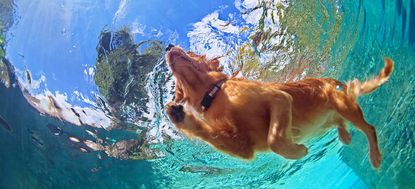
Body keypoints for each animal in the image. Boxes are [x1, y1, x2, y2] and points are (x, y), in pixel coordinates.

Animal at [165, 45, 394, 168]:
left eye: (192, 52)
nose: (168, 46)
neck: (215, 94)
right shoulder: (244, 147)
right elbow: (214, 135)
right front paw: (177, 115)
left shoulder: (279, 99)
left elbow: (274, 139)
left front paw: (297, 151)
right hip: (332, 118)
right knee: (340, 122)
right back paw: (344, 135)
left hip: (344, 106)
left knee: (369, 128)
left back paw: (375, 156)